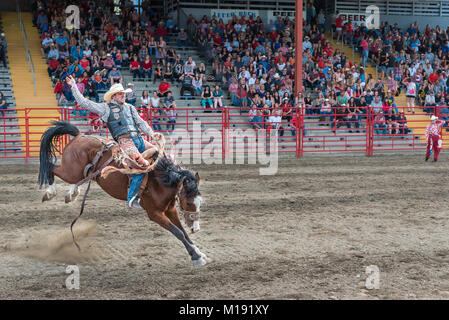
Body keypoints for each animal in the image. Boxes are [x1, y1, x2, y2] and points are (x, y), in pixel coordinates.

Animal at [37, 120, 210, 268]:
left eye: (200, 202)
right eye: (189, 202)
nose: (196, 228)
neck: (161, 180)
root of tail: (79, 135)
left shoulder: (170, 210)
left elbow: (183, 231)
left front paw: (200, 253)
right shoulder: (154, 213)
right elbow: (178, 232)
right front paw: (196, 257)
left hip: (79, 172)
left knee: (77, 178)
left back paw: (72, 194)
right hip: (71, 171)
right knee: (51, 168)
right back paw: (50, 192)